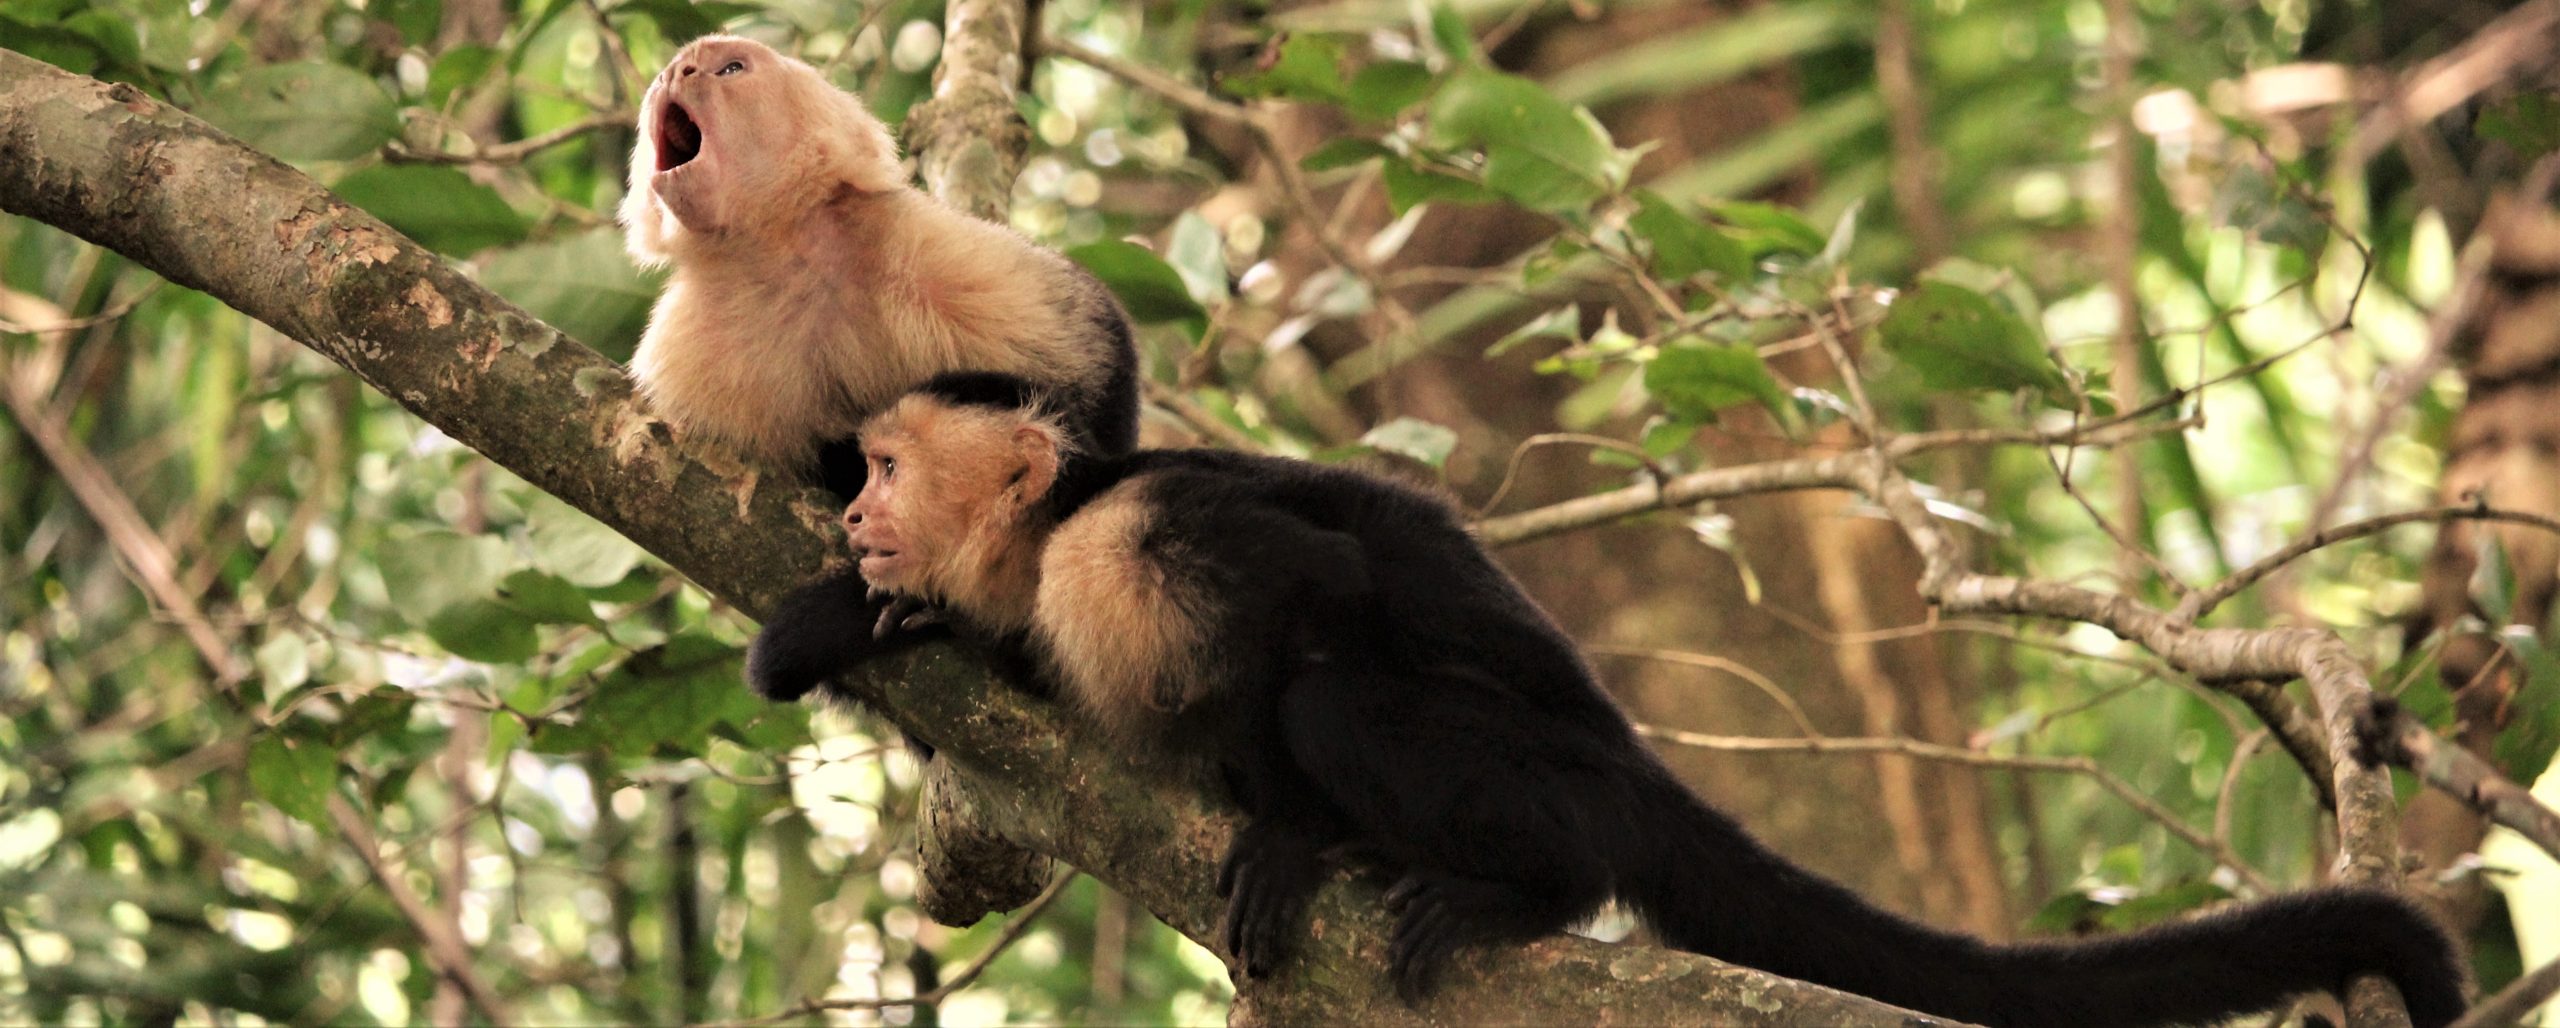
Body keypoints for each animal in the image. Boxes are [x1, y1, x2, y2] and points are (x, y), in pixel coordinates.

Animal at [614, 32, 1136, 498]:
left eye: (731, 69)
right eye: (668, 72)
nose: (673, 73)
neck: (790, 253)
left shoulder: (929, 248)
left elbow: (1097, 362)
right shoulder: (693, 348)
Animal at [747, 378, 2467, 1028]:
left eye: (886, 461)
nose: (858, 512)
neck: (1050, 536)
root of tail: (1631, 766)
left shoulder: (1133, 542)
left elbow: (1320, 601)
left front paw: (1292, 836)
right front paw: (840, 623)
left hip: (1544, 769)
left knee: (1349, 702)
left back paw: (1517, 885)